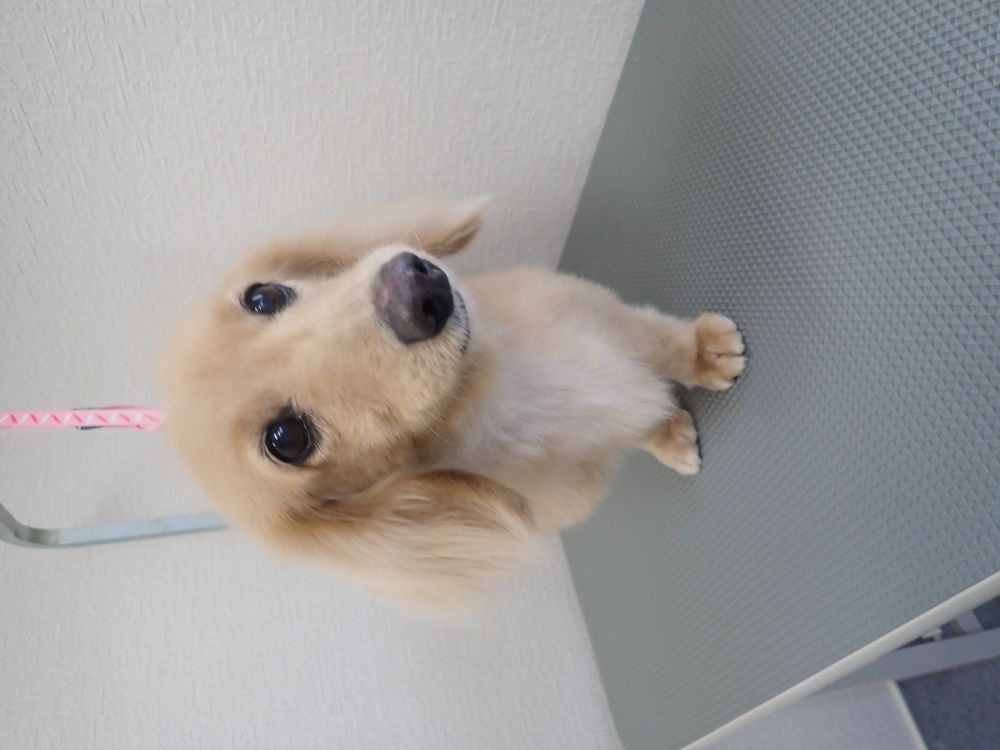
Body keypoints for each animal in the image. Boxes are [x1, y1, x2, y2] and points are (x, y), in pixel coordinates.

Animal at [161, 197, 745, 614]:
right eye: (288, 439)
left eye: (264, 296)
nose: (414, 293)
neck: (509, 383)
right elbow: (640, 414)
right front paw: (670, 433)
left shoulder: (594, 311)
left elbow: (660, 343)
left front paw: (706, 354)